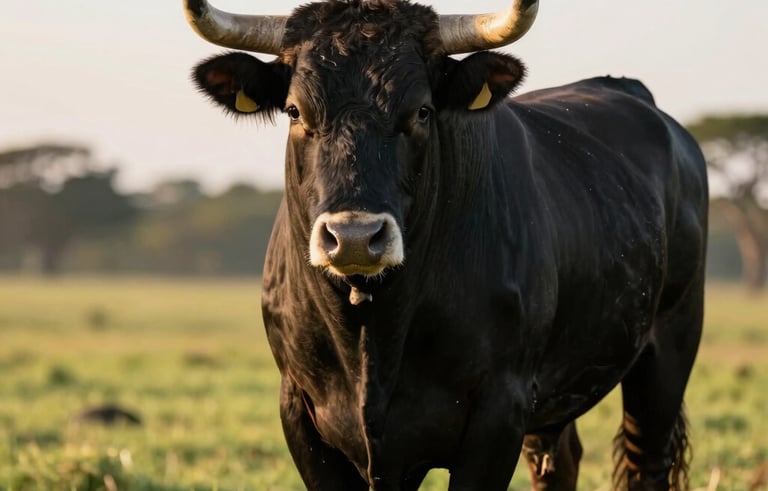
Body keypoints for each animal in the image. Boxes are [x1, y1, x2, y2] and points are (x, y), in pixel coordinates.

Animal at [183, 0, 708, 489]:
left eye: (421, 110)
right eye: (295, 111)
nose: (354, 238)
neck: (373, 333)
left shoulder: (498, 413)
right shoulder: (302, 413)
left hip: (667, 353)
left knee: (647, 464)